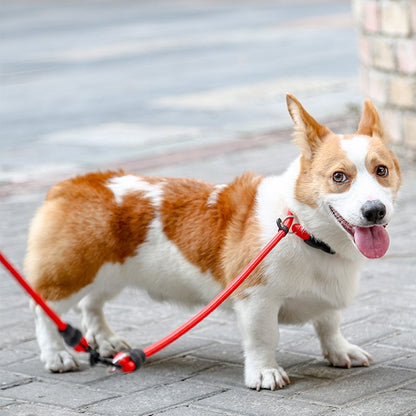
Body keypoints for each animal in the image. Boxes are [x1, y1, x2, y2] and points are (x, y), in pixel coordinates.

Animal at [24, 94, 402, 390]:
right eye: (339, 177)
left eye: (381, 170)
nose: (374, 211)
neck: (304, 230)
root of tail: (69, 185)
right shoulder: (256, 299)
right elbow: (264, 339)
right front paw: (265, 373)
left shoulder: (326, 298)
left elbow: (329, 324)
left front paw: (341, 352)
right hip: (74, 272)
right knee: (44, 309)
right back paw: (57, 355)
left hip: (108, 272)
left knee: (91, 305)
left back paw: (105, 341)